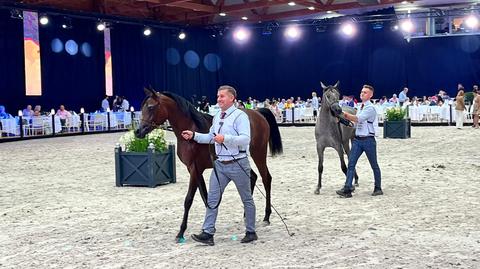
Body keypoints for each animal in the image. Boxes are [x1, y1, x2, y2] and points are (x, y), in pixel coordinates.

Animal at [135, 88, 284, 241]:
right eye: (142, 107)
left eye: (151, 107)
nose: (138, 131)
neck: (192, 129)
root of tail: (258, 113)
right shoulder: (194, 169)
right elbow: (205, 197)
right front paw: (209, 227)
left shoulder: (195, 170)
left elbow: (189, 199)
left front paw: (181, 232)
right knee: (252, 177)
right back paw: (245, 214)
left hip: (258, 154)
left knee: (266, 178)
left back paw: (266, 216)